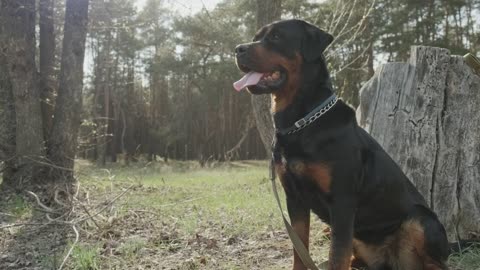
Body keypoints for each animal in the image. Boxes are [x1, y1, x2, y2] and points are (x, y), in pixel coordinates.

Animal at [232, 19, 450, 270]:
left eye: (276, 37)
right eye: (256, 37)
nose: (238, 49)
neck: (301, 123)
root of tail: (391, 260)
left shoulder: (342, 201)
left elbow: (336, 254)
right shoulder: (294, 199)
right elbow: (300, 248)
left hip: (421, 220)